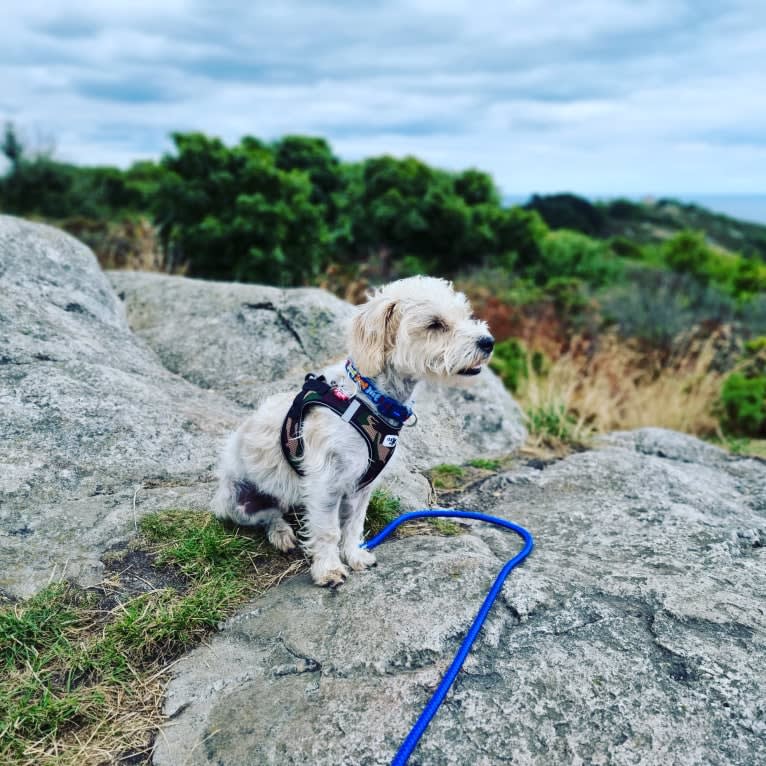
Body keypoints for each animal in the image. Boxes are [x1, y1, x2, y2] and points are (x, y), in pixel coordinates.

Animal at [213, 276, 496, 588]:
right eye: (435, 324)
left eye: (465, 315)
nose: (488, 342)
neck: (369, 398)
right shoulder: (326, 483)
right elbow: (328, 530)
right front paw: (328, 569)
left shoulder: (361, 486)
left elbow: (353, 525)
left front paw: (354, 556)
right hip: (237, 503)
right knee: (270, 515)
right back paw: (281, 532)